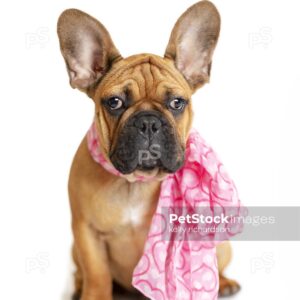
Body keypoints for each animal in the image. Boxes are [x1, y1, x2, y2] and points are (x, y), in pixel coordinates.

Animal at [57, 1, 240, 298]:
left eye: (177, 103)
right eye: (114, 102)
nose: (148, 122)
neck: (135, 182)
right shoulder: (86, 232)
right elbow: (96, 273)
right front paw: (93, 293)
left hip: (222, 245)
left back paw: (223, 283)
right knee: (81, 272)